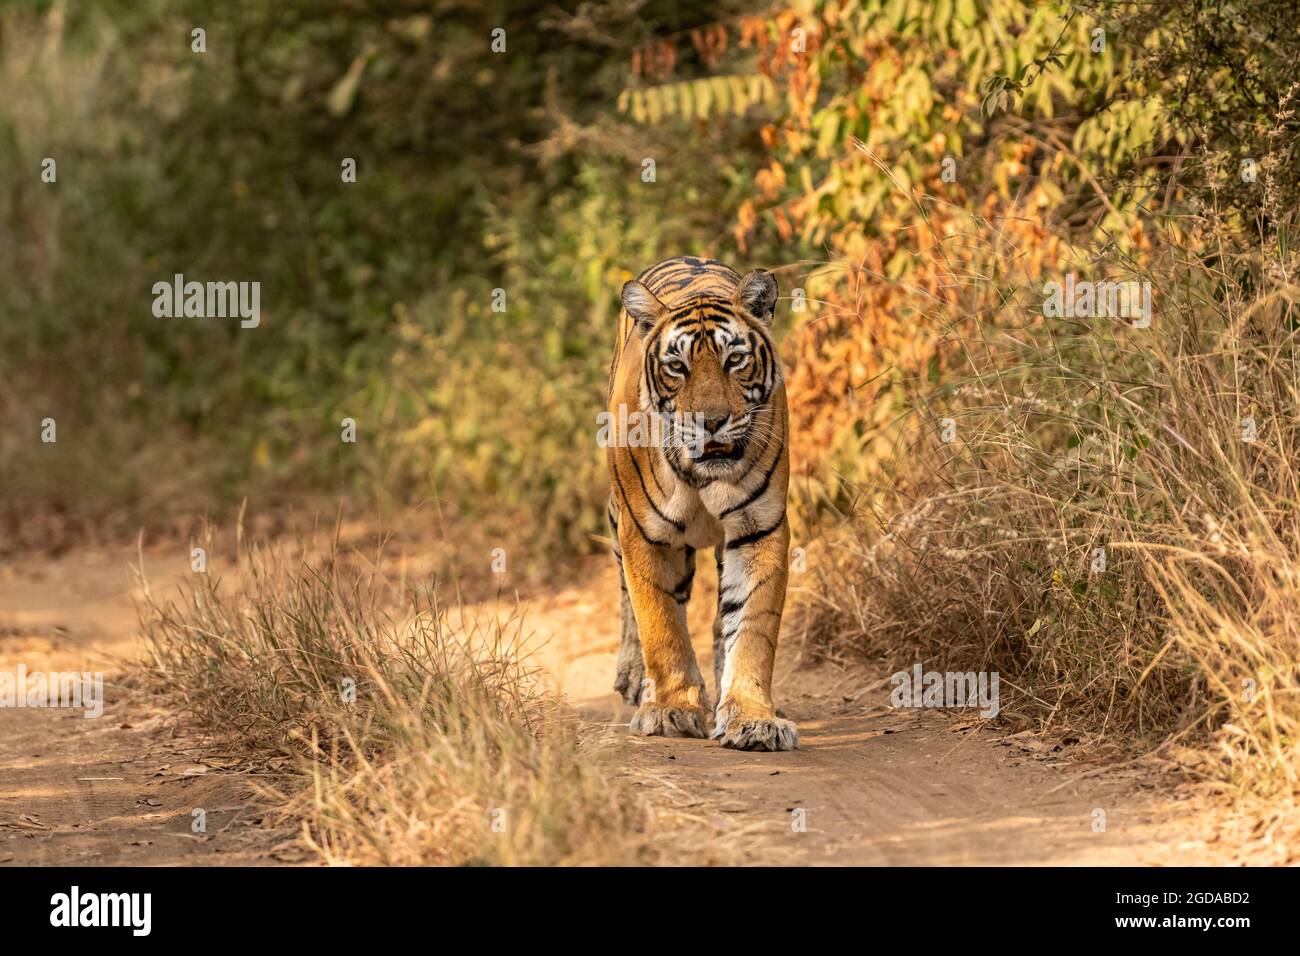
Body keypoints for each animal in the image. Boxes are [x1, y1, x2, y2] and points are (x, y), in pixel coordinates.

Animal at [603, 257, 795, 749]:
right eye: (677, 366)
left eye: (735, 359)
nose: (711, 422)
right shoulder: (645, 534)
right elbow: (661, 625)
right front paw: (671, 710)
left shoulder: (759, 528)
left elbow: (752, 627)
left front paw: (752, 718)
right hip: (620, 515)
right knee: (628, 596)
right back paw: (633, 678)